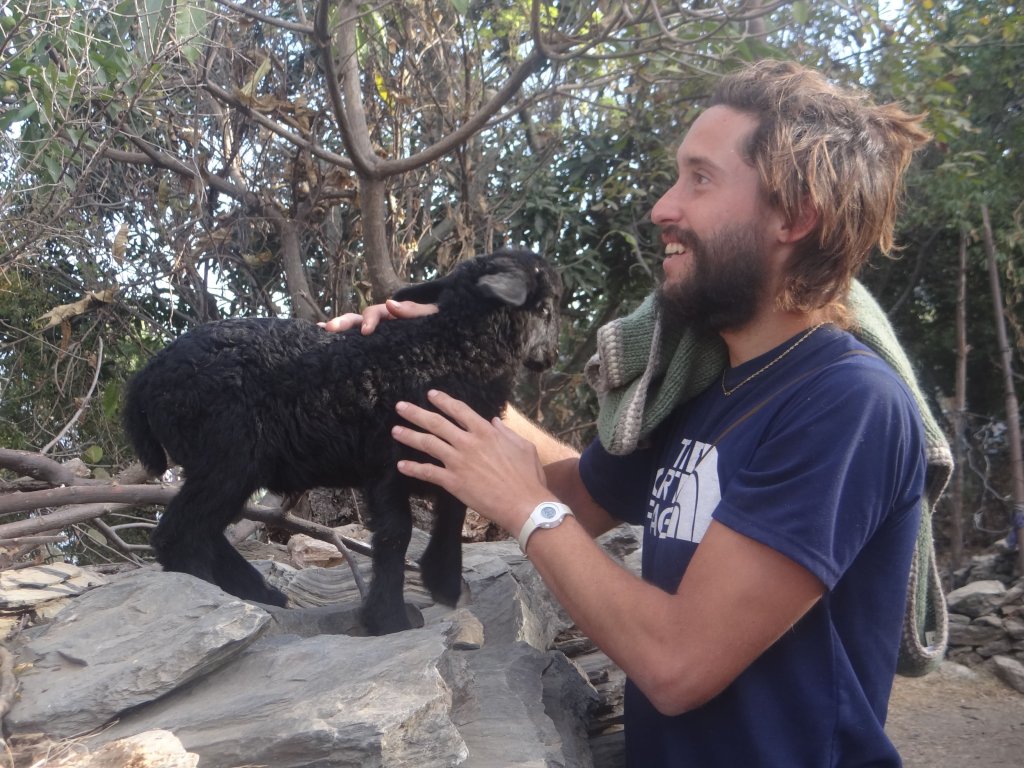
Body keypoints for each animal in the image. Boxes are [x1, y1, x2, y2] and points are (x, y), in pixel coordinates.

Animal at [125, 249, 569, 634]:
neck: (449, 348)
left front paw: (443, 581)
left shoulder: (452, 452)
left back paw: (260, 593)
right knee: (180, 533)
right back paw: (215, 597)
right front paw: (388, 619)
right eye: (546, 309)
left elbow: (454, 511)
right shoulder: (388, 461)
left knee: (205, 528)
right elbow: (396, 534)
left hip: (227, 463)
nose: (550, 357)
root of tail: (146, 376)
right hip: (226, 455)